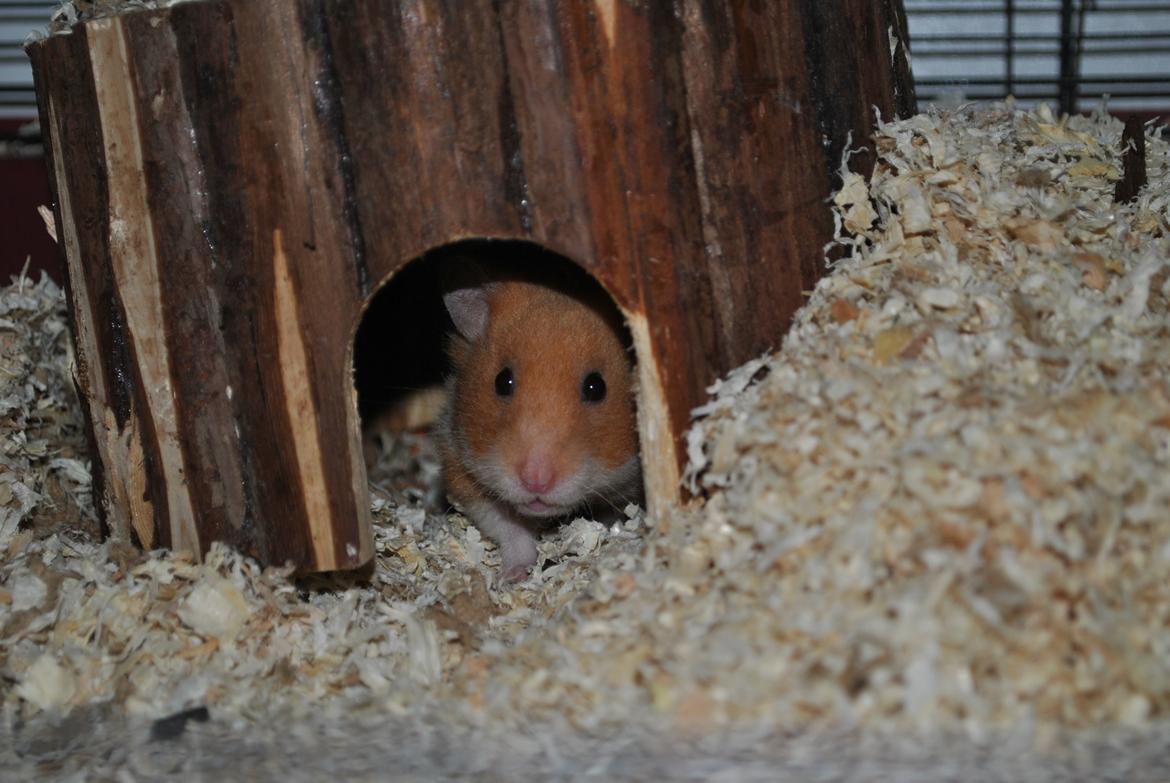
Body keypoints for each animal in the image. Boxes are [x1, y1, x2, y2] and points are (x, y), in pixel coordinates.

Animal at [435, 260, 642, 582]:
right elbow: (509, 529)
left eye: (596, 387)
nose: (535, 481)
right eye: (502, 381)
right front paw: (513, 576)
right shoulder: (459, 466)